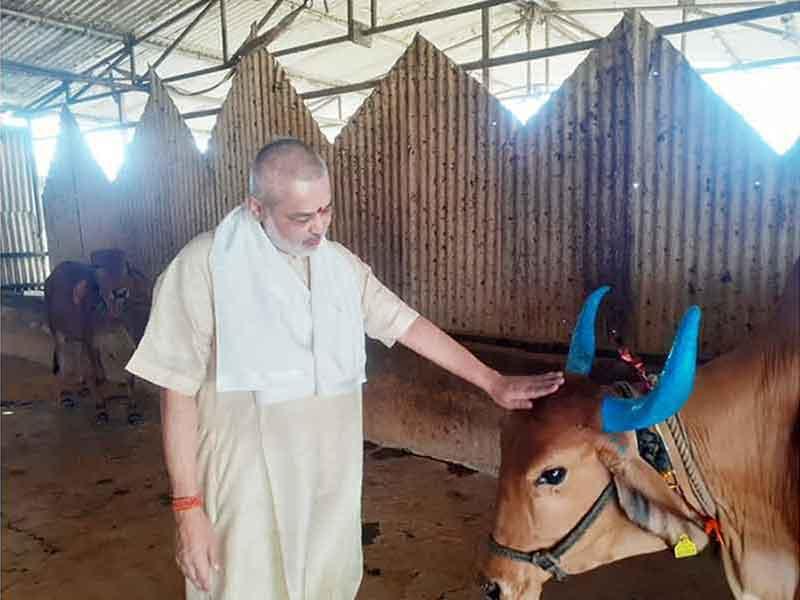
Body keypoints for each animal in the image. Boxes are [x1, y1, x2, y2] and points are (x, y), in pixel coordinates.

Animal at [45, 251, 151, 424]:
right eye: (99, 268)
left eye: (126, 267)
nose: (120, 293)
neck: (112, 321)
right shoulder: (92, 343)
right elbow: (100, 377)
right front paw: (101, 409)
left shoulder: (128, 344)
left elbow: (129, 377)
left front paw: (133, 411)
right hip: (59, 333)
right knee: (64, 361)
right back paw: (65, 396)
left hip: (79, 338)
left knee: (79, 358)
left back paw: (84, 387)